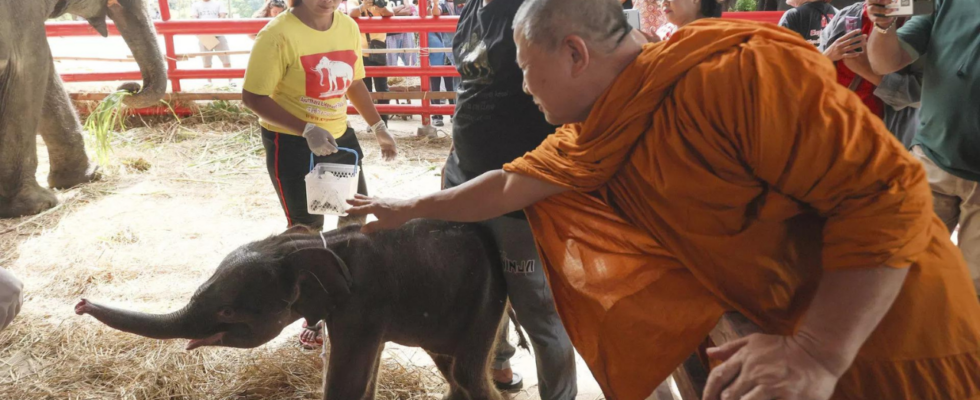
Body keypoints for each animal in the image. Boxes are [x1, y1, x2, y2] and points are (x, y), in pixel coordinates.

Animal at [78, 220, 512, 398]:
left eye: (228, 313)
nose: (80, 303)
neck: (308, 245)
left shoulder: (363, 304)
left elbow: (346, 383)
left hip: (486, 299)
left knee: (467, 373)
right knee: (452, 370)